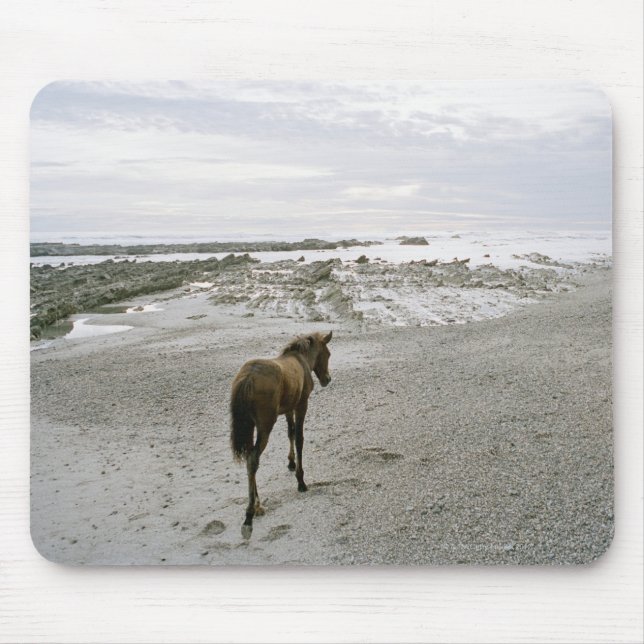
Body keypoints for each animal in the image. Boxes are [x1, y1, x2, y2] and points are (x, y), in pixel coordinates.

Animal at [230, 330, 333, 539]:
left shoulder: (288, 408)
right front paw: (301, 481)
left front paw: (291, 463)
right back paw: (249, 515)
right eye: (328, 354)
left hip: (250, 426)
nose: (327, 379)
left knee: (250, 459)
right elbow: (299, 438)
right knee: (253, 459)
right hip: (265, 425)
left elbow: (290, 433)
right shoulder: (301, 405)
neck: (301, 360)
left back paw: (258, 505)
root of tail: (248, 377)